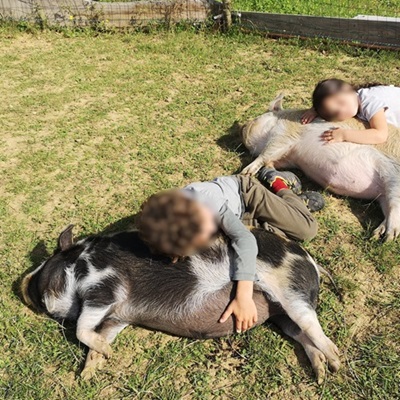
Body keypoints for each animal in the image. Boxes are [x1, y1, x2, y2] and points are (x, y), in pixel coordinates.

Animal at [21, 223, 340, 382]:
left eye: (48, 265)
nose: (22, 286)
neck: (81, 265)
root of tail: (310, 261)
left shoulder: (104, 287)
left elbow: (80, 329)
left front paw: (104, 356)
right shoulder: (117, 316)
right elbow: (98, 334)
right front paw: (91, 371)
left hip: (291, 289)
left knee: (313, 327)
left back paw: (336, 363)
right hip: (280, 312)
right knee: (300, 333)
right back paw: (321, 373)